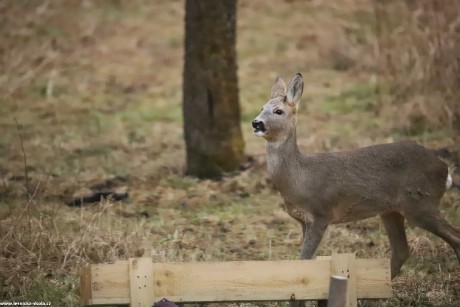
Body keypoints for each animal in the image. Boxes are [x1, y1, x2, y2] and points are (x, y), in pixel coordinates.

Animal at [253, 73, 458, 280]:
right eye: (262, 108)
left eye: (278, 111)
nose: (256, 123)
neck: (300, 178)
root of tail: (444, 169)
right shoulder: (304, 219)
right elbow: (310, 260)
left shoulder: (321, 213)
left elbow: (305, 259)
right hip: (391, 211)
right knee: (401, 250)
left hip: (421, 203)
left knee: (454, 237)